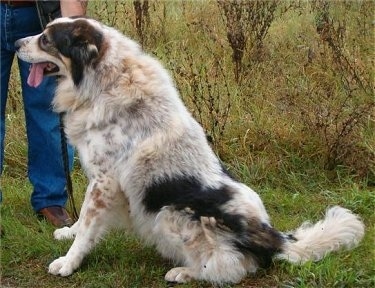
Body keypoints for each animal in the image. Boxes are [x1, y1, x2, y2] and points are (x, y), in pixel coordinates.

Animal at [14, 17, 364, 284]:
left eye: (46, 40)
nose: (16, 43)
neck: (104, 81)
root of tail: (273, 237)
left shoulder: (104, 182)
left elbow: (88, 226)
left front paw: (68, 262)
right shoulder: (101, 183)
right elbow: (83, 221)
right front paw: (68, 232)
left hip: (170, 213)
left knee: (234, 266)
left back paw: (185, 272)